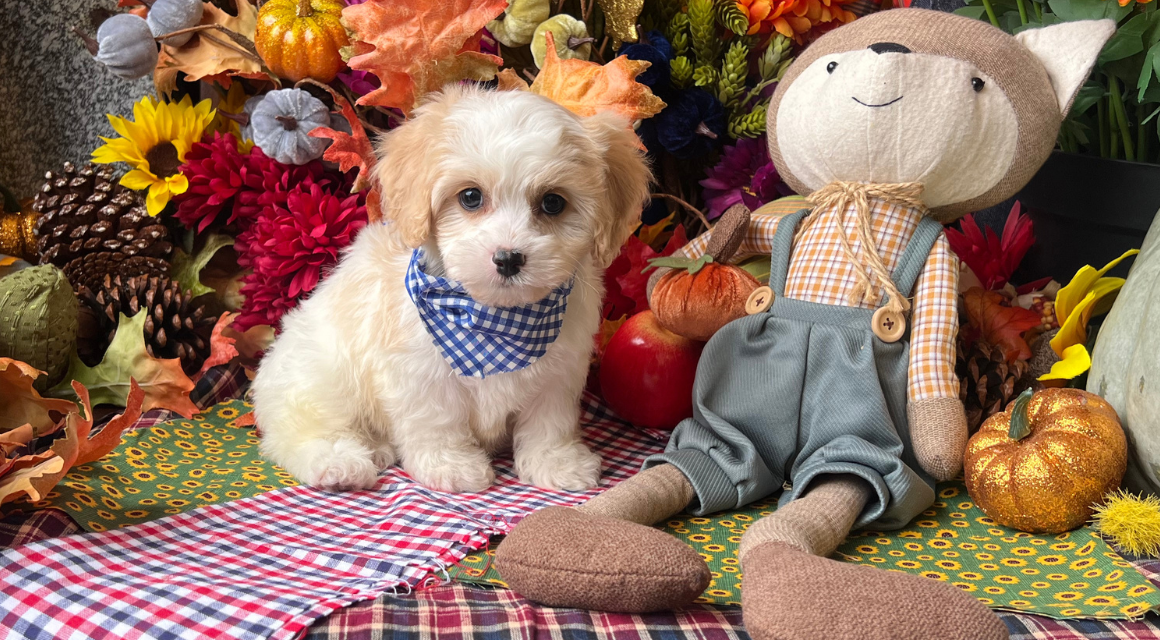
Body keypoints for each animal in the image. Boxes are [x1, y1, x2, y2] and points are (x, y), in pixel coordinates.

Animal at [251, 85, 654, 491]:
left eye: (553, 202)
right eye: (470, 197)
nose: (508, 258)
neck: (496, 322)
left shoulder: (558, 373)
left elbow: (549, 422)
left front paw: (557, 463)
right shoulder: (419, 373)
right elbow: (437, 420)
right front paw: (451, 466)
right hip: (321, 376)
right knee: (297, 432)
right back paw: (340, 463)